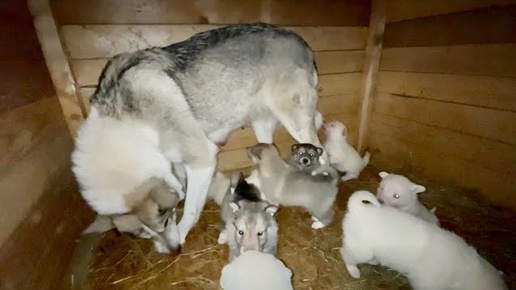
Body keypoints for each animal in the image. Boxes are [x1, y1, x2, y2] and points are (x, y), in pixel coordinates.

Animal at [86, 22, 324, 250]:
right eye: (143, 235)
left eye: (164, 221)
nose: (174, 251)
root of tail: (299, 40)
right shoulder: (177, 161)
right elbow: (182, 187)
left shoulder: (203, 157)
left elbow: (191, 208)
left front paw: (182, 232)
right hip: (261, 126)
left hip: (296, 123)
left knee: (322, 154)